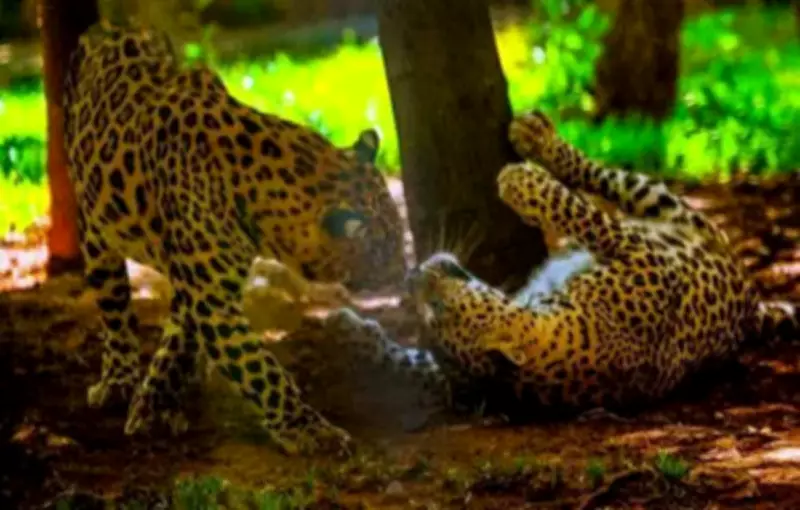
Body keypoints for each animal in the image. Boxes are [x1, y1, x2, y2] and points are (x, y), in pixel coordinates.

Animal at [62, 20, 406, 455]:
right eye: (383, 249)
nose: (405, 272)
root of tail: (112, 24)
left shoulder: (199, 286)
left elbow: (180, 341)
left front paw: (159, 401)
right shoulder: (211, 299)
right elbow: (261, 371)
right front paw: (311, 431)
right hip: (95, 235)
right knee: (116, 312)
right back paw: (118, 379)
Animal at [318, 110, 799, 420]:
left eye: (434, 310)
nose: (413, 277)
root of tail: (752, 306)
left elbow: (583, 216)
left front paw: (342, 332)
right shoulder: (638, 251)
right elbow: (581, 214)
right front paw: (346, 333)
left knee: (600, 181)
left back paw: (533, 137)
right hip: (672, 212)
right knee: (603, 181)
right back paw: (534, 141)